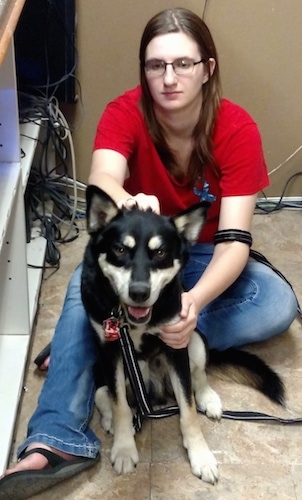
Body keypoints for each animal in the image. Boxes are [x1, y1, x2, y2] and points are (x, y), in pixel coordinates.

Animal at [81, 185, 284, 484]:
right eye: (120, 249)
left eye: (160, 253)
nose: (139, 293)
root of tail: (156, 388)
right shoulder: (110, 348)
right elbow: (119, 404)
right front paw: (124, 447)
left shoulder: (176, 344)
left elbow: (187, 409)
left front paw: (201, 455)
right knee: (103, 393)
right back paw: (111, 418)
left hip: (195, 340)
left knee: (197, 376)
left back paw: (208, 398)